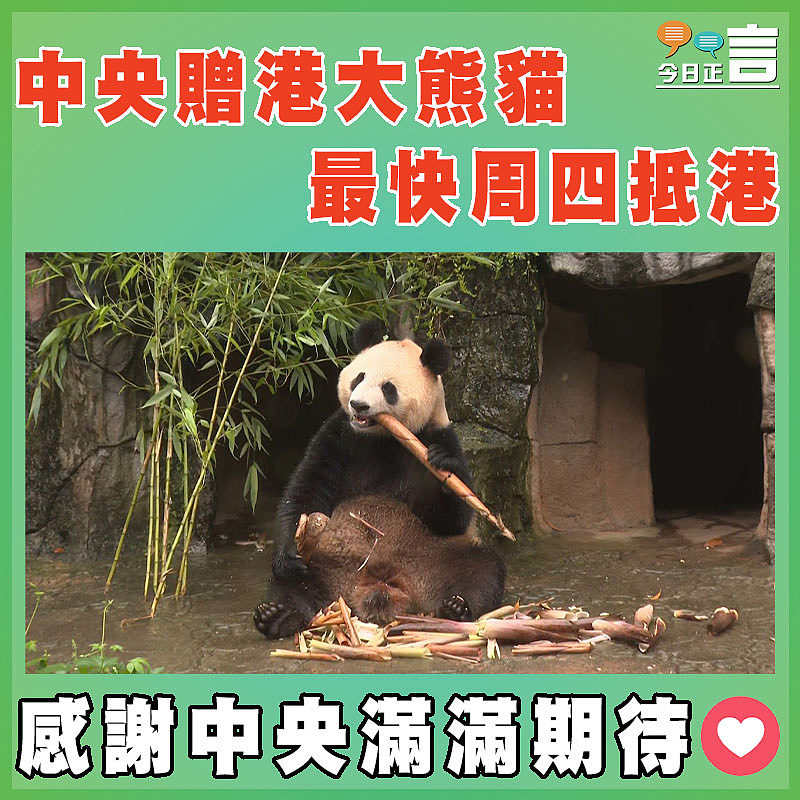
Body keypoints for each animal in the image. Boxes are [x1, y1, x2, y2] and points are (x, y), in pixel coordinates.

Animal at [253, 320, 506, 638]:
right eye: (359, 377)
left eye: (388, 388)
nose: (358, 405)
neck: (383, 436)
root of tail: (378, 587)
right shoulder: (339, 437)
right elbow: (307, 489)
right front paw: (288, 553)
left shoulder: (436, 436)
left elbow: (451, 517)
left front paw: (443, 469)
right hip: (322, 558)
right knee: (292, 584)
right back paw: (278, 615)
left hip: (438, 556)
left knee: (483, 570)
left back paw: (457, 607)